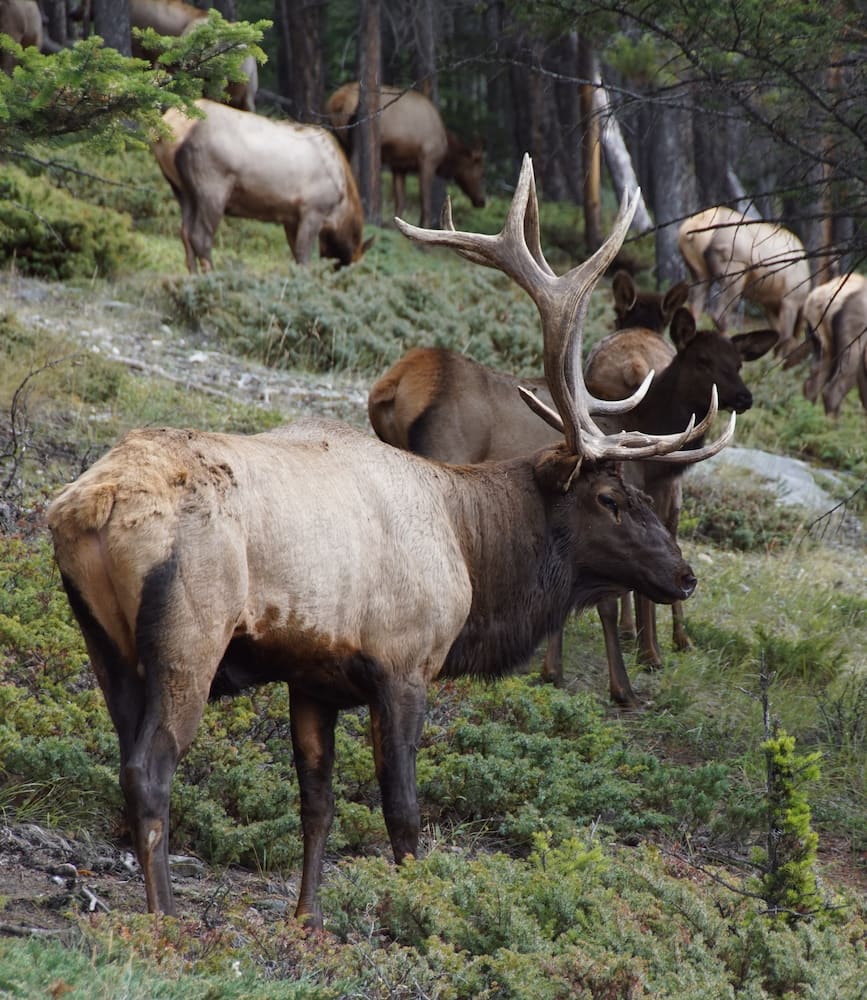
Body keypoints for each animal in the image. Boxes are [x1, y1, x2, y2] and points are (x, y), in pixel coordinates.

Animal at [45, 158, 724, 928]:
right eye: (609, 499)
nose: (684, 574)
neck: (470, 549)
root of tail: (85, 507)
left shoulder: (312, 679)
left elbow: (317, 805)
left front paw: (306, 919)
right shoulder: (404, 662)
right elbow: (402, 813)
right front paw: (413, 914)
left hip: (105, 643)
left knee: (127, 761)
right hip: (187, 635)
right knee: (150, 770)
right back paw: (163, 921)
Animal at [150, 100, 372, 272]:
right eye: (353, 263)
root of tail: (173, 128)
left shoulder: (291, 218)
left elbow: (295, 255)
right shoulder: (313, 209)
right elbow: (303, 257)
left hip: (181, 189)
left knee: (184, 233)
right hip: (212, 184)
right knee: (200, 236)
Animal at [328, 81, 488, 229]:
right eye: (480, 172)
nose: (482, 201)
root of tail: (337, 101)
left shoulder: (399, 166)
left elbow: (400, 200)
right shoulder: (428, 159)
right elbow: (424, 199)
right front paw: (424, 226)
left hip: (338, 139)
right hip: (358, 140)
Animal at [680, 205, 812, 362]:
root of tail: (691, 229)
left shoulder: (768, 303)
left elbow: (777, 333)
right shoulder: (790, 299)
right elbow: (785, 336)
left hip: (698, 271)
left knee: (694, 308)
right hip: (733, 268)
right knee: (719, 315)